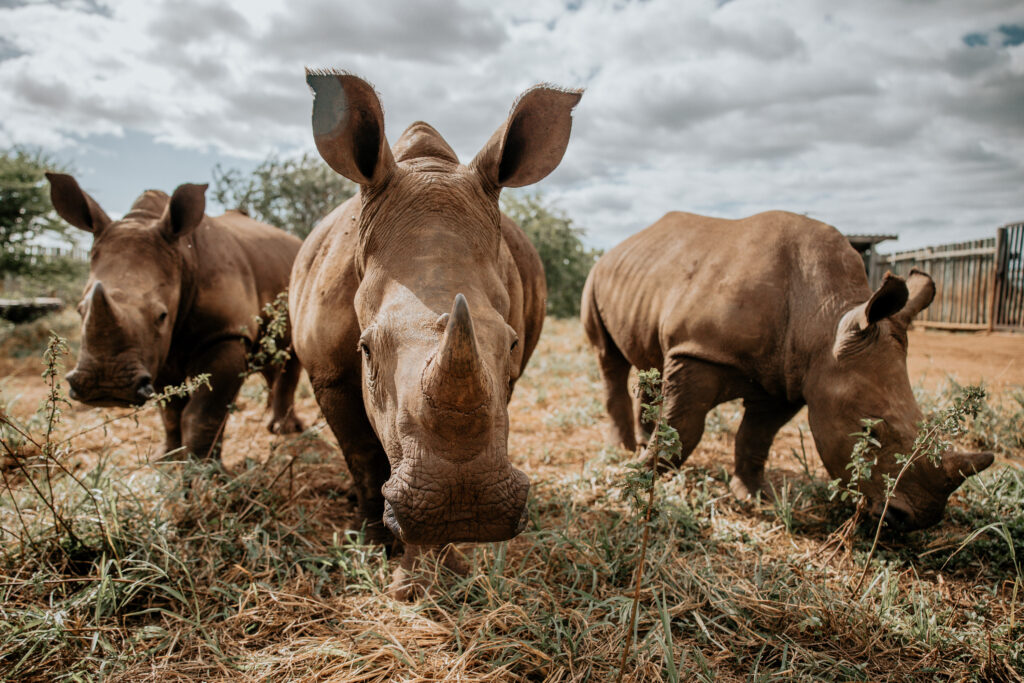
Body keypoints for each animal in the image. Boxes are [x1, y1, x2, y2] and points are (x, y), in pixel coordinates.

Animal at [47, 173, 304, 460]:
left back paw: (285, 430)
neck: (182, 255)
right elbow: (170, 410)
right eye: (80, 310)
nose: (107, 387)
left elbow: (203, 413)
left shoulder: (226, 332)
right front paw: (167, 457)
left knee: (291, 358)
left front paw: (203, 467)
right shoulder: (157, 350)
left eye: (161, 315)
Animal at [289, 71, 581, 596]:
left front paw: (435, 568)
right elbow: (364, 456)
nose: (465, 506)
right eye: (366, 350)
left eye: (511, 342)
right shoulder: (327, 372)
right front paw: (376, 545)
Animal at [582, 210, 993, 530]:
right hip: (596, 276)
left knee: (648, 362)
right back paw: (624, 447)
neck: (825, 318)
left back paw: (637, 442)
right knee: (609, 358)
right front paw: (636, 477)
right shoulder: (698, 351)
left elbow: (756, 437)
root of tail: (617, 248)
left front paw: (753, 497)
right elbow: (684, 427)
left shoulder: (791, 379)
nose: (917, 519)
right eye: (870, 431)